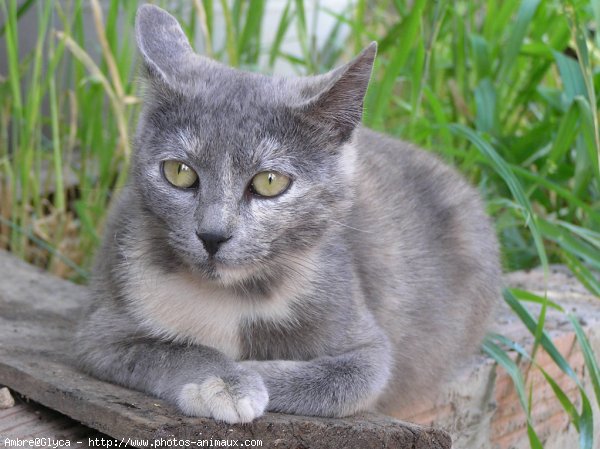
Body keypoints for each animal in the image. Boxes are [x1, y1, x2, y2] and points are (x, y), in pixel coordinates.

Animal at [77, 4, 504, 424]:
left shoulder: (367, 344)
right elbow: (169, 349)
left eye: (270, 182)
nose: (212, 235)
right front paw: (226, 380)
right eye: (179, 172)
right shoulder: (102, 329)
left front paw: (248, 374)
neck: (229, 295)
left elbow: (346, 378)